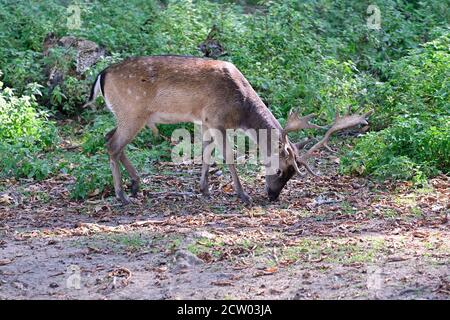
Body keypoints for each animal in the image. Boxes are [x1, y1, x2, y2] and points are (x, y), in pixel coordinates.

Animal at [84, 55, 372, 205]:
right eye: (281, 170)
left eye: (292, 175)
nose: (272, 196)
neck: (240, 108)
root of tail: (102, 74)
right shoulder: (217, 119)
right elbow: (229, 157)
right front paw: (242, 194)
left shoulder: (205, 121)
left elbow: (205, 154)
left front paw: (204, 189)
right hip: (133, 111)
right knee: (112, 145)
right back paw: (122, 195)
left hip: (128, 115)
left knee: (109, 138)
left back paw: (135, 185)